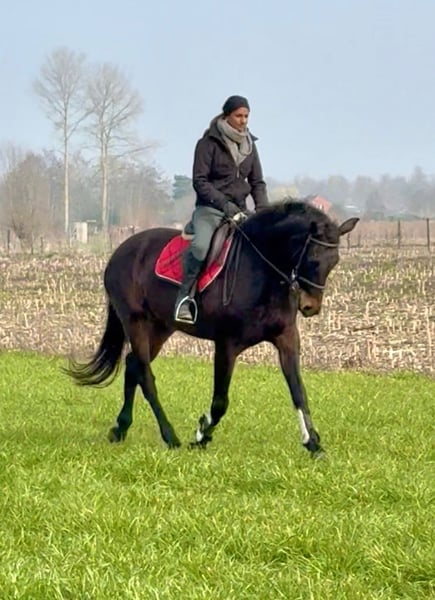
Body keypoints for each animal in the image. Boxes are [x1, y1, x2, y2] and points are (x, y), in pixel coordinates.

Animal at [66, 200, 358, 457]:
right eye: (313, 259)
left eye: (334, 261)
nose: (310, 307)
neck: (261, 272)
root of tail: (121, 250)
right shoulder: (227, 344)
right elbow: (220, 402)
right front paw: (201, 434)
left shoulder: (287, 339)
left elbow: (299, 392)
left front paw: (313, 444)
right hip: (135, 321)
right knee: (146, 376)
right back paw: (170, 436)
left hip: (160, 328)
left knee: (133, 365)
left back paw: (121, 428)